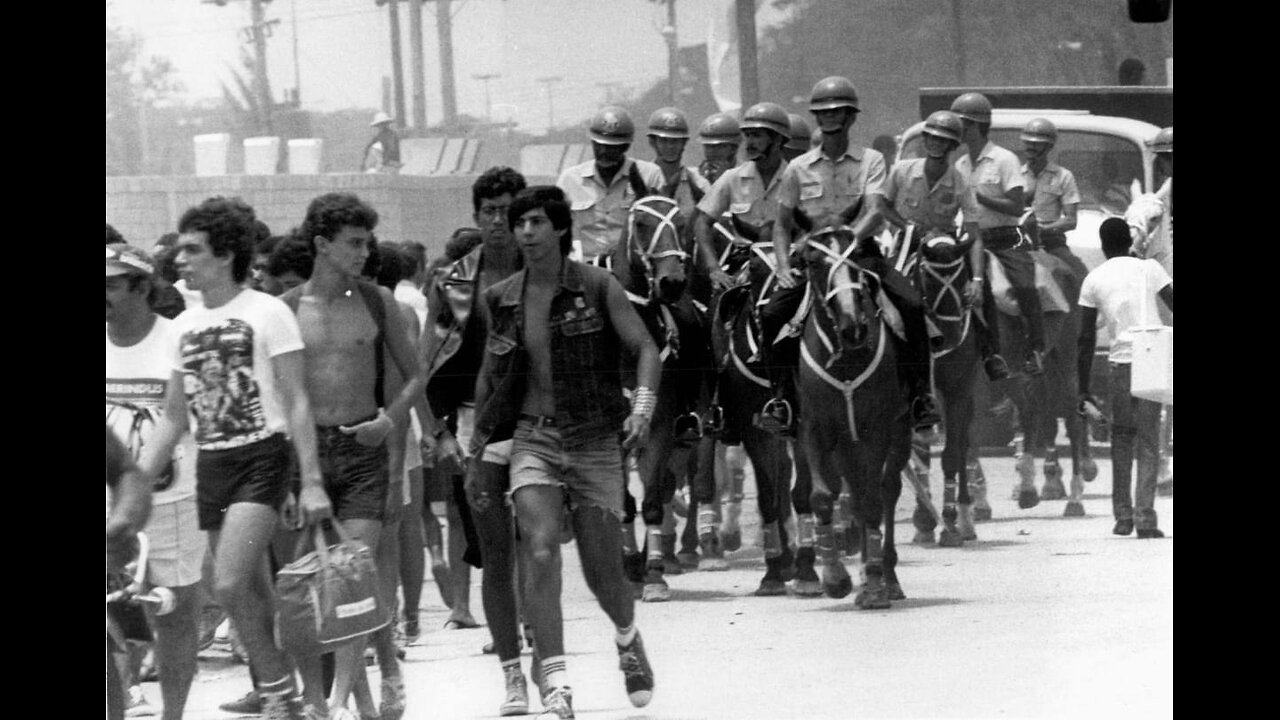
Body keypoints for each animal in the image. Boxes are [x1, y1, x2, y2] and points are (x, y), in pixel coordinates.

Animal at [601, 192, 721, 599]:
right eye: (641, 223)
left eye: (680, 224)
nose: (671, 282)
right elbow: (623, 502)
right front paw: (628, 567)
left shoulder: (660, 427)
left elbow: (653, 498)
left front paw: (652, 573)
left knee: (683, 481)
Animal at [793, 224, 916, 604]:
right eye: (813, 263)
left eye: (859, 256)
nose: (854, 327)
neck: (846, 357)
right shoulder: (813, 429)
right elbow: (821, 497)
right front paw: (835, 577)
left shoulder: (878, 427)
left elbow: (876, 498)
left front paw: (875, 586)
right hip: (847, 444)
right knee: (857, 493)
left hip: (898, 430)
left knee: (885, 489)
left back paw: (887, 575)